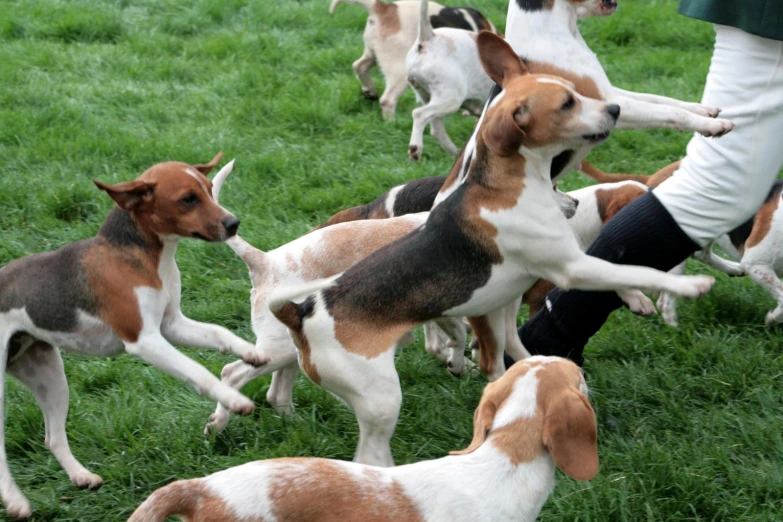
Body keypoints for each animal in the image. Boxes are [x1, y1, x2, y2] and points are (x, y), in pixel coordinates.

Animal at [0, 153, 270, 516]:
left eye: (209, 189)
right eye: (188, 199)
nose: (233, 223)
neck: (142, 257)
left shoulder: (172, 325)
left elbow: (219, 331)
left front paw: (250, 352)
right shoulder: (145, 341)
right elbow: (198, 371)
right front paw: (233, 400)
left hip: (49, 376)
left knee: (53, 436)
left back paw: (81, 477)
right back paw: (16, 502)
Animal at [270, 32, 716, 464]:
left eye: (575, 91)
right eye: (567, 103)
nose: (617, 109)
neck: (507, 183)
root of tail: (301, 313)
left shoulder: (511, 295)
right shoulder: (570, 266)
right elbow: (634, 269)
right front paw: (686, 287)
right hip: (381, 400)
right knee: (370, 455)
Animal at [330, 0, 496, 118]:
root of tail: (384, 7)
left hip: (372, 54)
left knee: (359, 66)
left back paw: (370, 91)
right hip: (399, 70)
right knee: (387, 100)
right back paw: (392, 124)